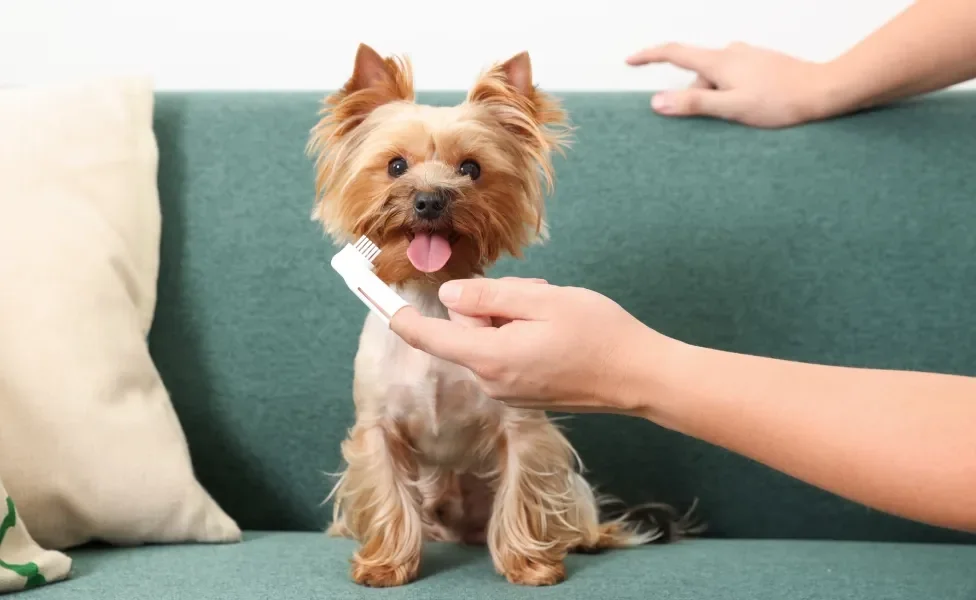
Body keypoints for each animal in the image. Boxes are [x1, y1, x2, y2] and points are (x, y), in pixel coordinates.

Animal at [304, 44, 692, 588]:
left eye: (471, 169)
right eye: (396, 165)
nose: (430, 199)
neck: (429, 295)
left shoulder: (521, 425)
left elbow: (522, 490)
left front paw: (530, 564)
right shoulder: (377, 428)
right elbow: (387, 493)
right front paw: (385, 564)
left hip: (568, 491)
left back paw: (583, 538)